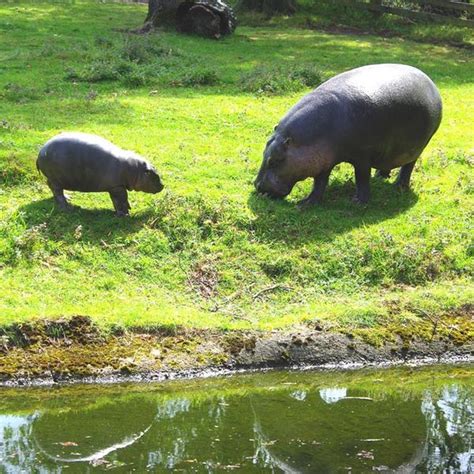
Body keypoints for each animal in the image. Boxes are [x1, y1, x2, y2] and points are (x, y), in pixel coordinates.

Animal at [254, 63, 442, 206]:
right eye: (264, 153)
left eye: (274, 160)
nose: (256, 186)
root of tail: (430, 82)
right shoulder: (322, 159)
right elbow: (319, 182)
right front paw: (306, 203)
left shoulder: (362, 157)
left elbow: (362, 178)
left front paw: (358, 202)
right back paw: (381, 176)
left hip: (419, 147)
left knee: (408, 166)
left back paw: (400, 187)